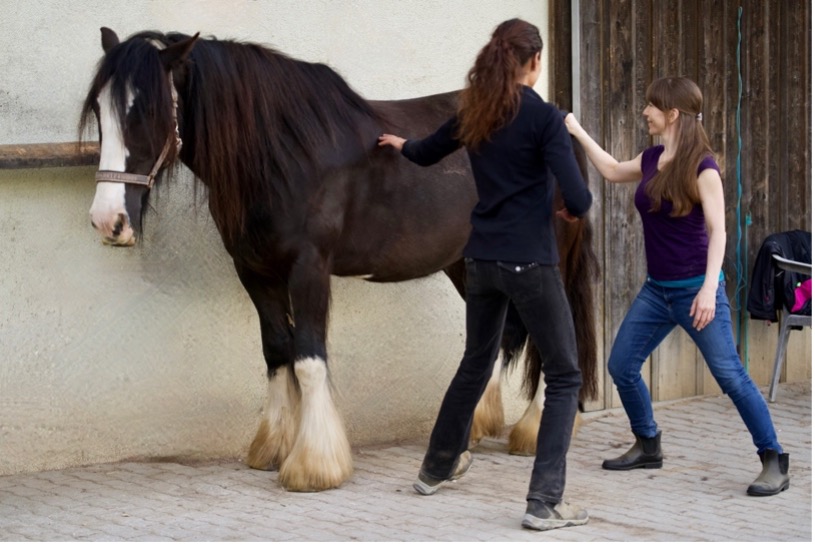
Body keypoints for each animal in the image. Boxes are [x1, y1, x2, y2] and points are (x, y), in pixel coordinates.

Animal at [79, 28, 596, 488]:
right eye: (101, 112)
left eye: (146, 111)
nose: (108, 221)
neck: (282, 154)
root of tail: (563, 124)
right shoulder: (255, 272)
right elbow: (277, 351)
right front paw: (273, 446)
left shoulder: (309, 268)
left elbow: (309, 359)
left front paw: (314, 465)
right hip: (466, 263)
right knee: (496, 339)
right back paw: (473, 431)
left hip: (543, 261)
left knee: (557, 332)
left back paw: (533, 430)